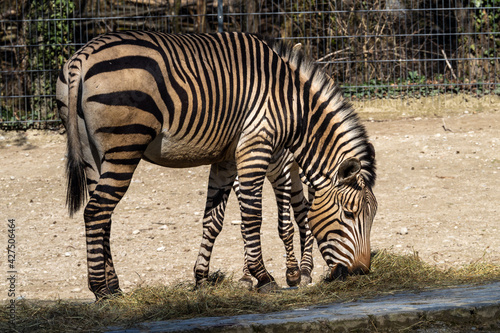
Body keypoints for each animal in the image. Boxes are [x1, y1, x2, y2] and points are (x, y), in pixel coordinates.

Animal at [194, 148, 314, 288]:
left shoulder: (282, 167)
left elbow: (285, 226)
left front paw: (292, 273)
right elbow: (246, 225)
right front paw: (247, 277)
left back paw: (306, 269)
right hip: (294, 169)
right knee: (303, 210)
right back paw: (306, 269)